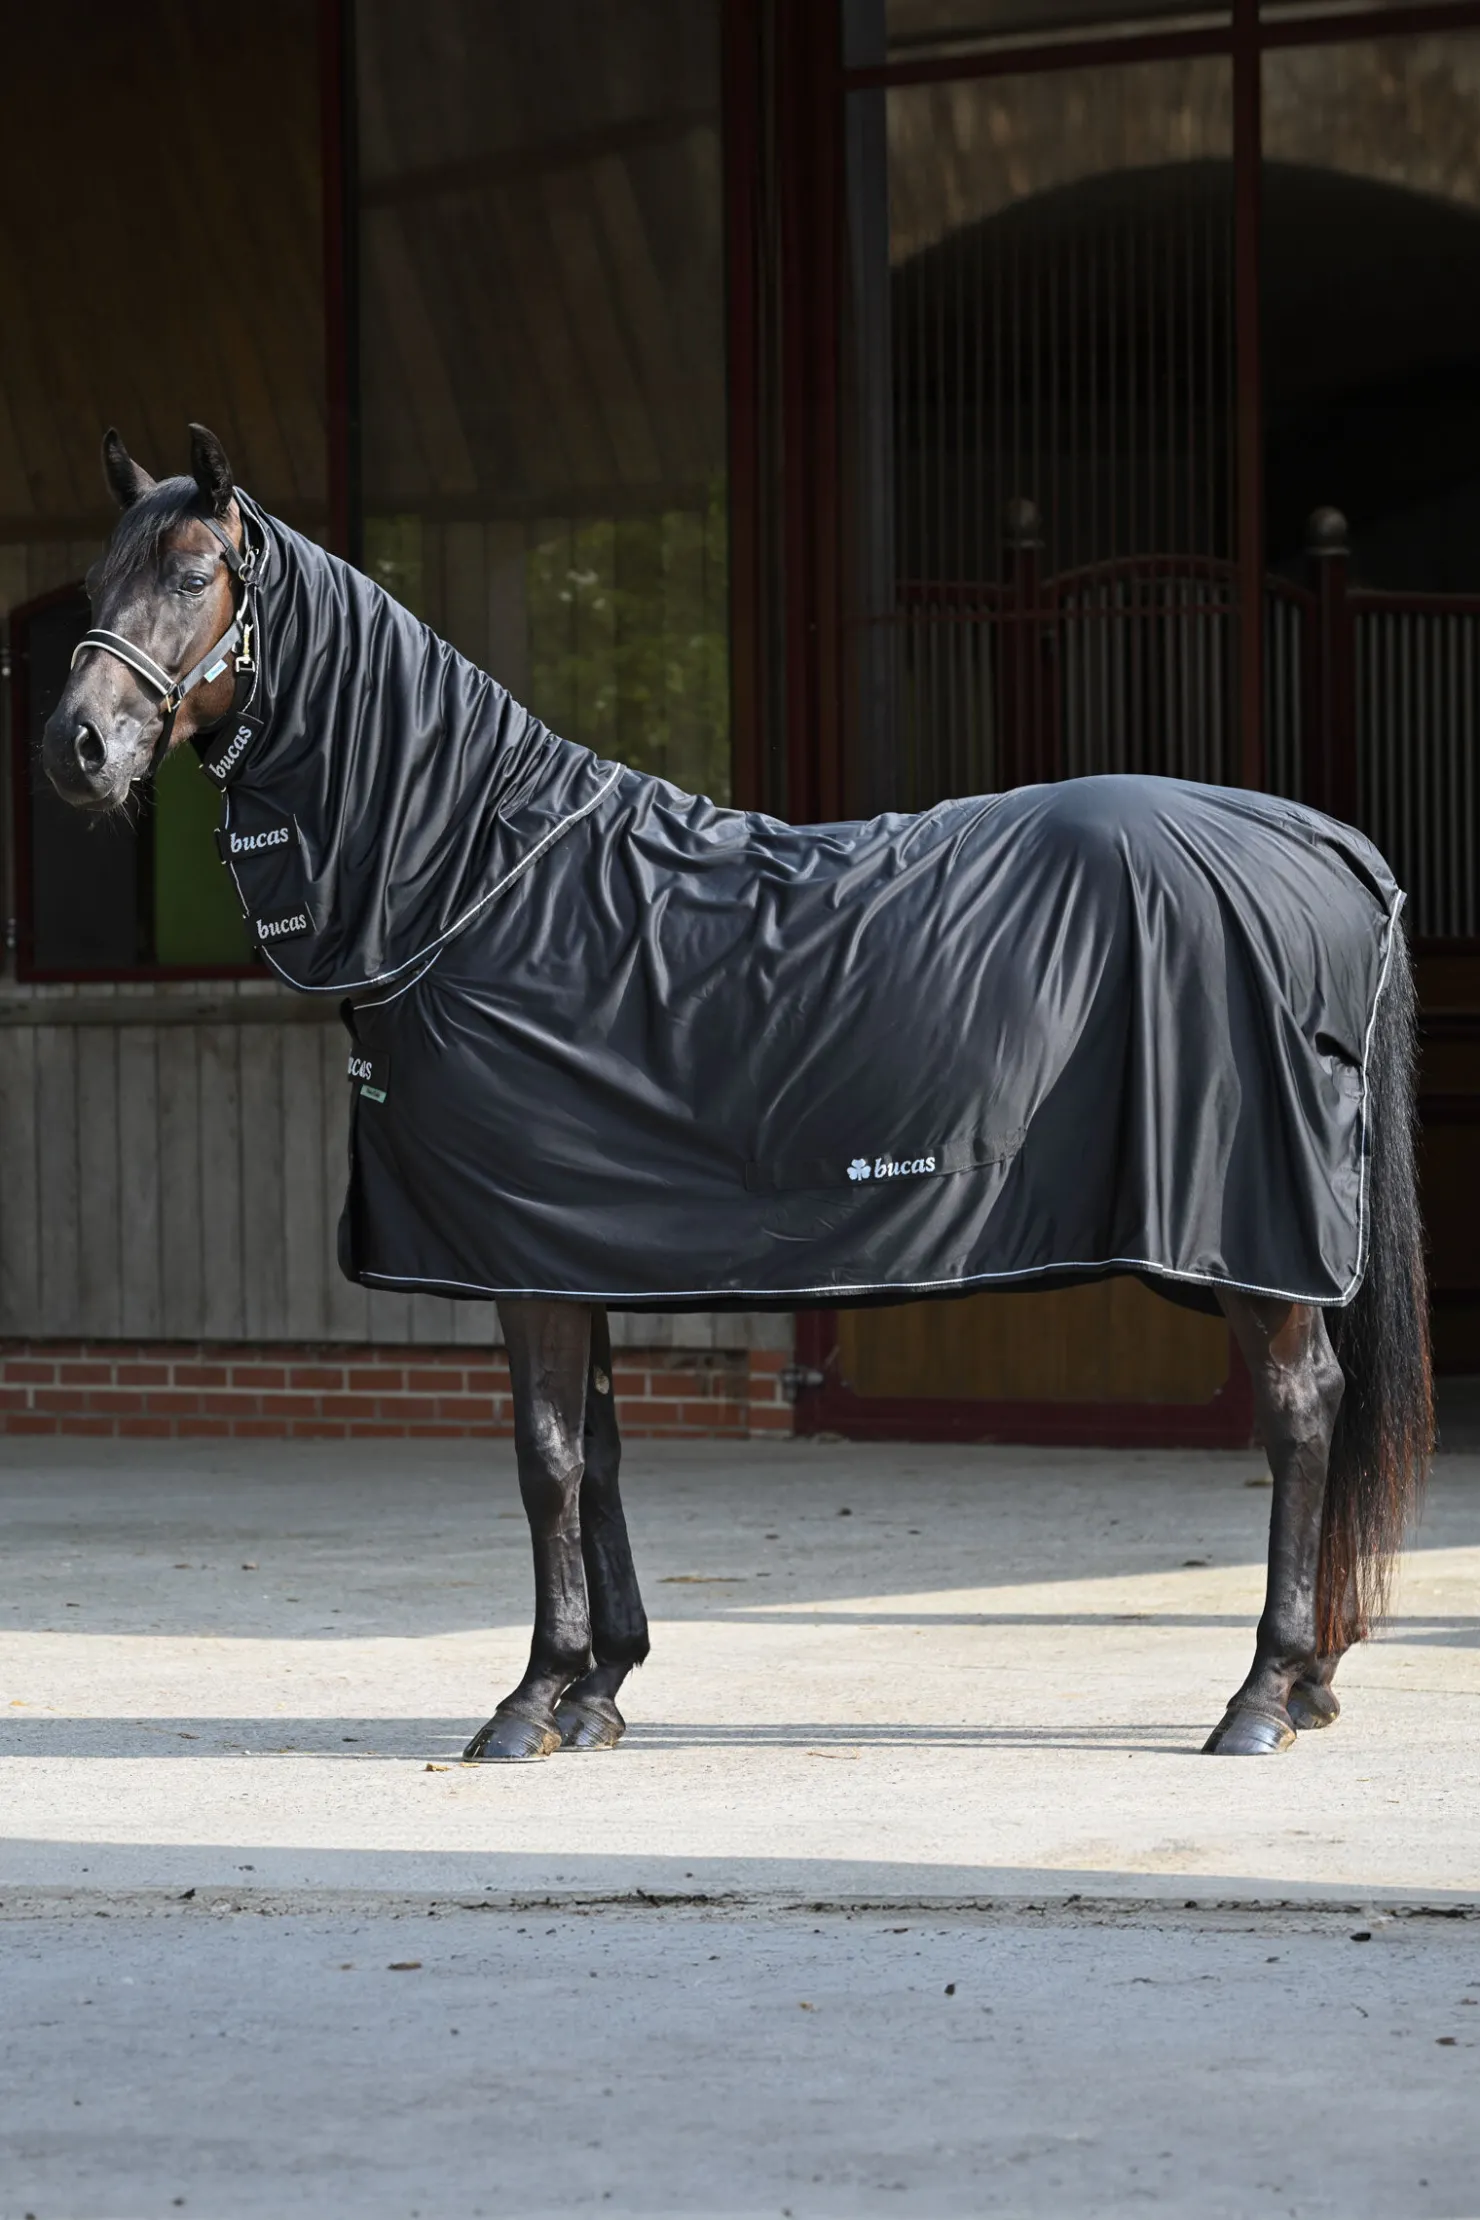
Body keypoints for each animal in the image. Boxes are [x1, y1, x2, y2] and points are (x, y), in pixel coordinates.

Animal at [42, 423, 1433, 1763]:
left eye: (191, 576)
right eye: (95, 580)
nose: (77, 749)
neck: (476, 880)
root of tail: (1325, 843)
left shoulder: (522, 1262)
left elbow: (545, 1461)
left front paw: (527, 1700)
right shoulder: (568, 1250)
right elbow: (598, 1457)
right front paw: (597, 1692)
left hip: (1248, 1239)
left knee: (1301, 1414)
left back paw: (1261, 1694)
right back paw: (1308, 1685)